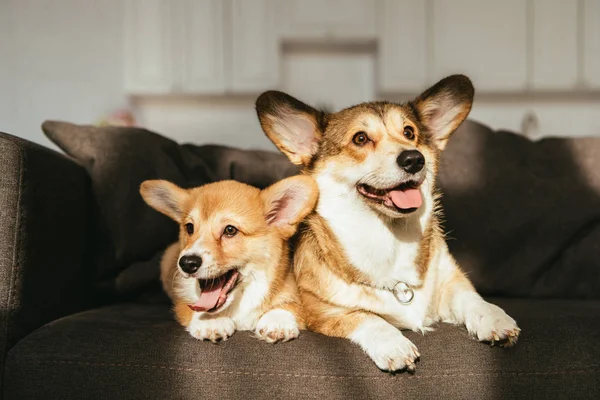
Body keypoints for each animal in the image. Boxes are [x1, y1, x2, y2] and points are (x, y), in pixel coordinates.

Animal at [141, 178, 318, 344]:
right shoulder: (182, 300)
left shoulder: (293, 293)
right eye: (190, 228)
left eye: (230, 230)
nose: (187, 263)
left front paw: (277, 321)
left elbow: (288, 305)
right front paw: (210, 321)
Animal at [255, 75, 524, 372]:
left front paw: (494, 317)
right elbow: (366, 316)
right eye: (360, 138)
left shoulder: (451, 282)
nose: (414, 159)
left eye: (409, 133)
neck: (389, 238)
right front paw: (393, 344)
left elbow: (472, 298)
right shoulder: (324, 312)